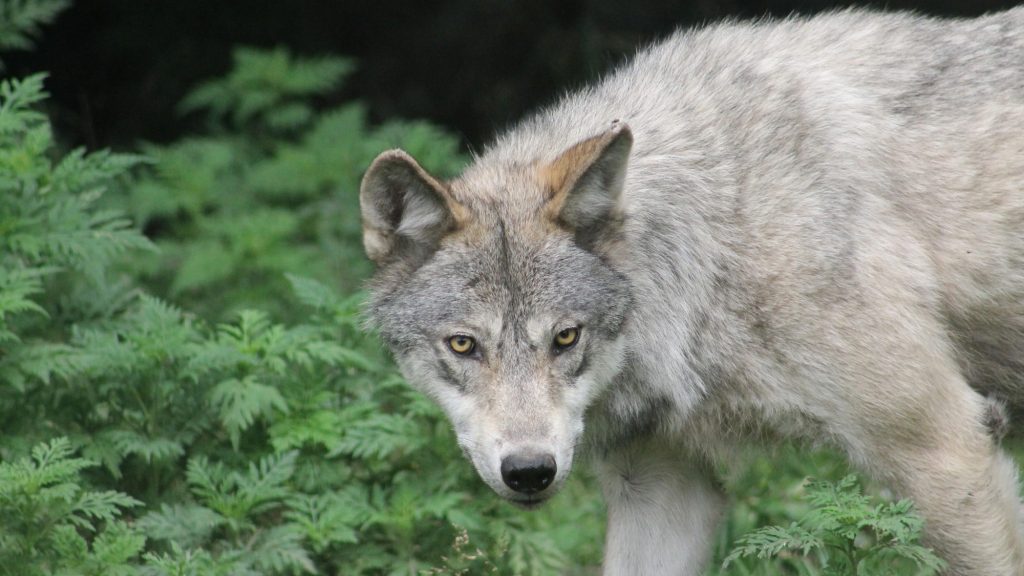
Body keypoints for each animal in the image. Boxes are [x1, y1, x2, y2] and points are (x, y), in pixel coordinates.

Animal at [359, 7, 1024, 575]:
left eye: (566, 337)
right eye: (463, 345)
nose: (529, 472)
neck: (714, 246)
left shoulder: (944, 449)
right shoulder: (661, 483)